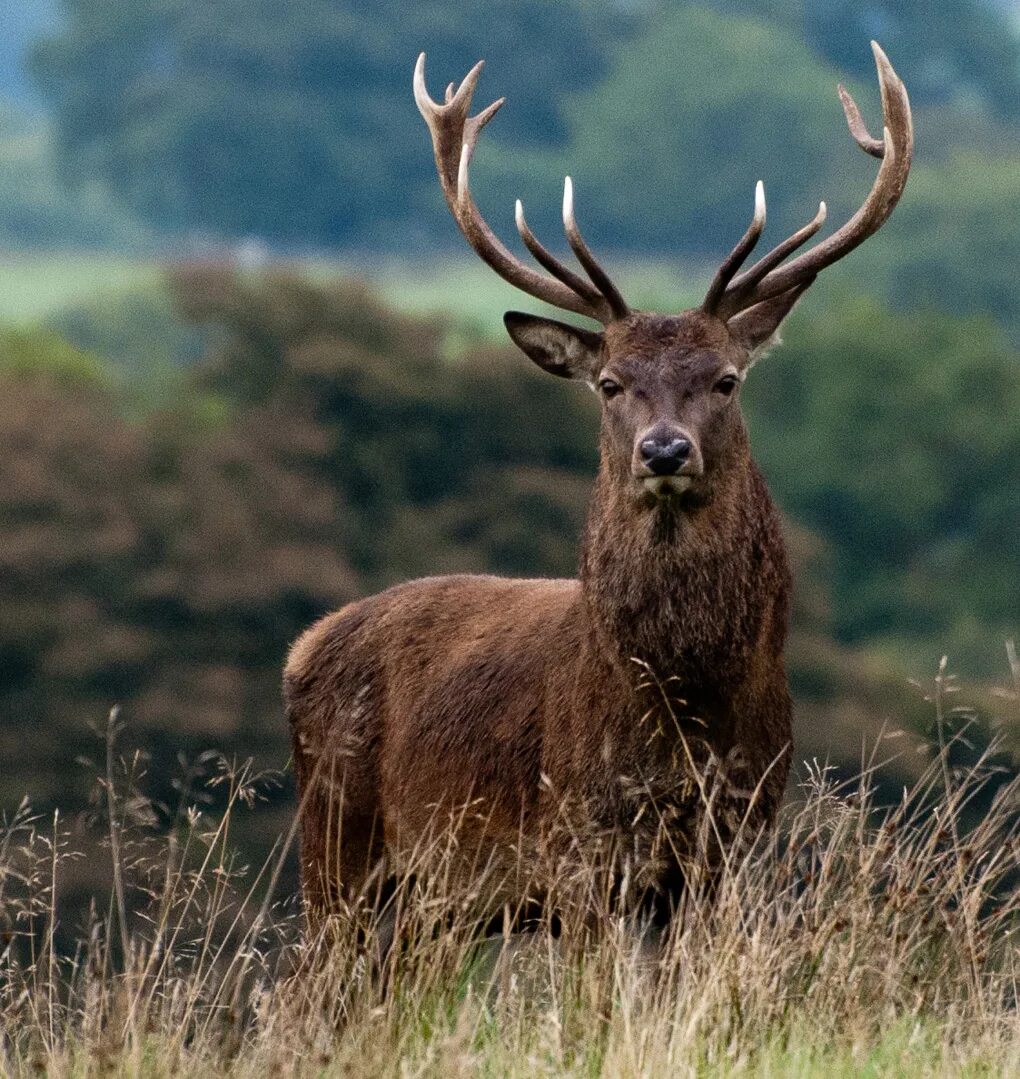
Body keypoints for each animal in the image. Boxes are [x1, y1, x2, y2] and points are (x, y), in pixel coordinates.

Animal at [282, 42, 910, 936]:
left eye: (725, 380)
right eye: (610, 383)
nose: (664, 449)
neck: (683, 715)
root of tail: (302, 648)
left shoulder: (732, 841)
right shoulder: (579, 843)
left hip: (429, 903)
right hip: (336, 850)